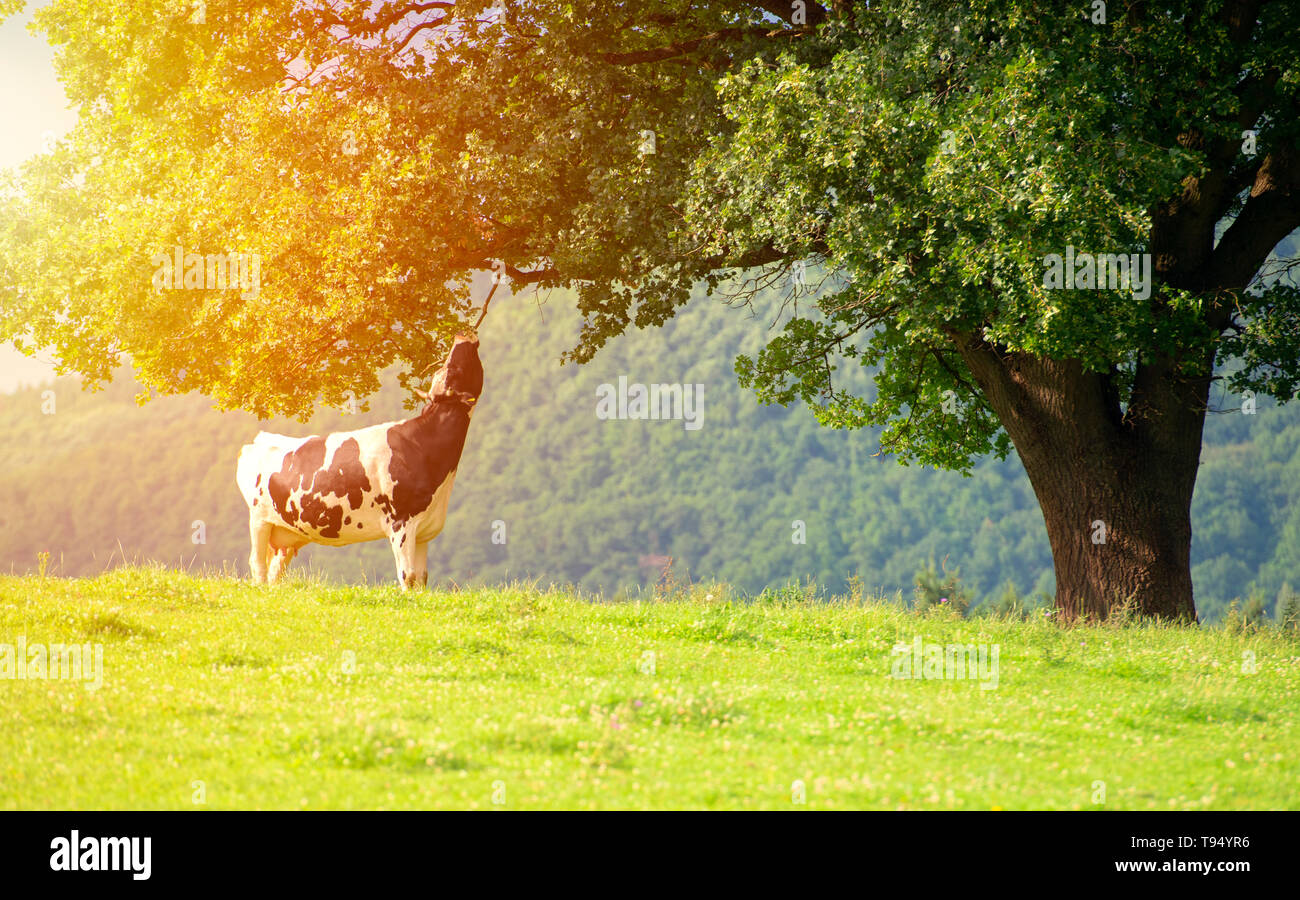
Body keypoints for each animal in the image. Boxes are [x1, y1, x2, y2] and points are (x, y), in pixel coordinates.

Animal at [236, 335, 483, 589]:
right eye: (451, 369)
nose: (460, 337)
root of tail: (261, 438)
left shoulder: (423, 528)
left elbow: (422, 578)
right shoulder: (401, 523)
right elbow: (408, 575)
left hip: (287, 532)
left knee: (276, 569)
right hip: (259, 519)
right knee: (258, 564)